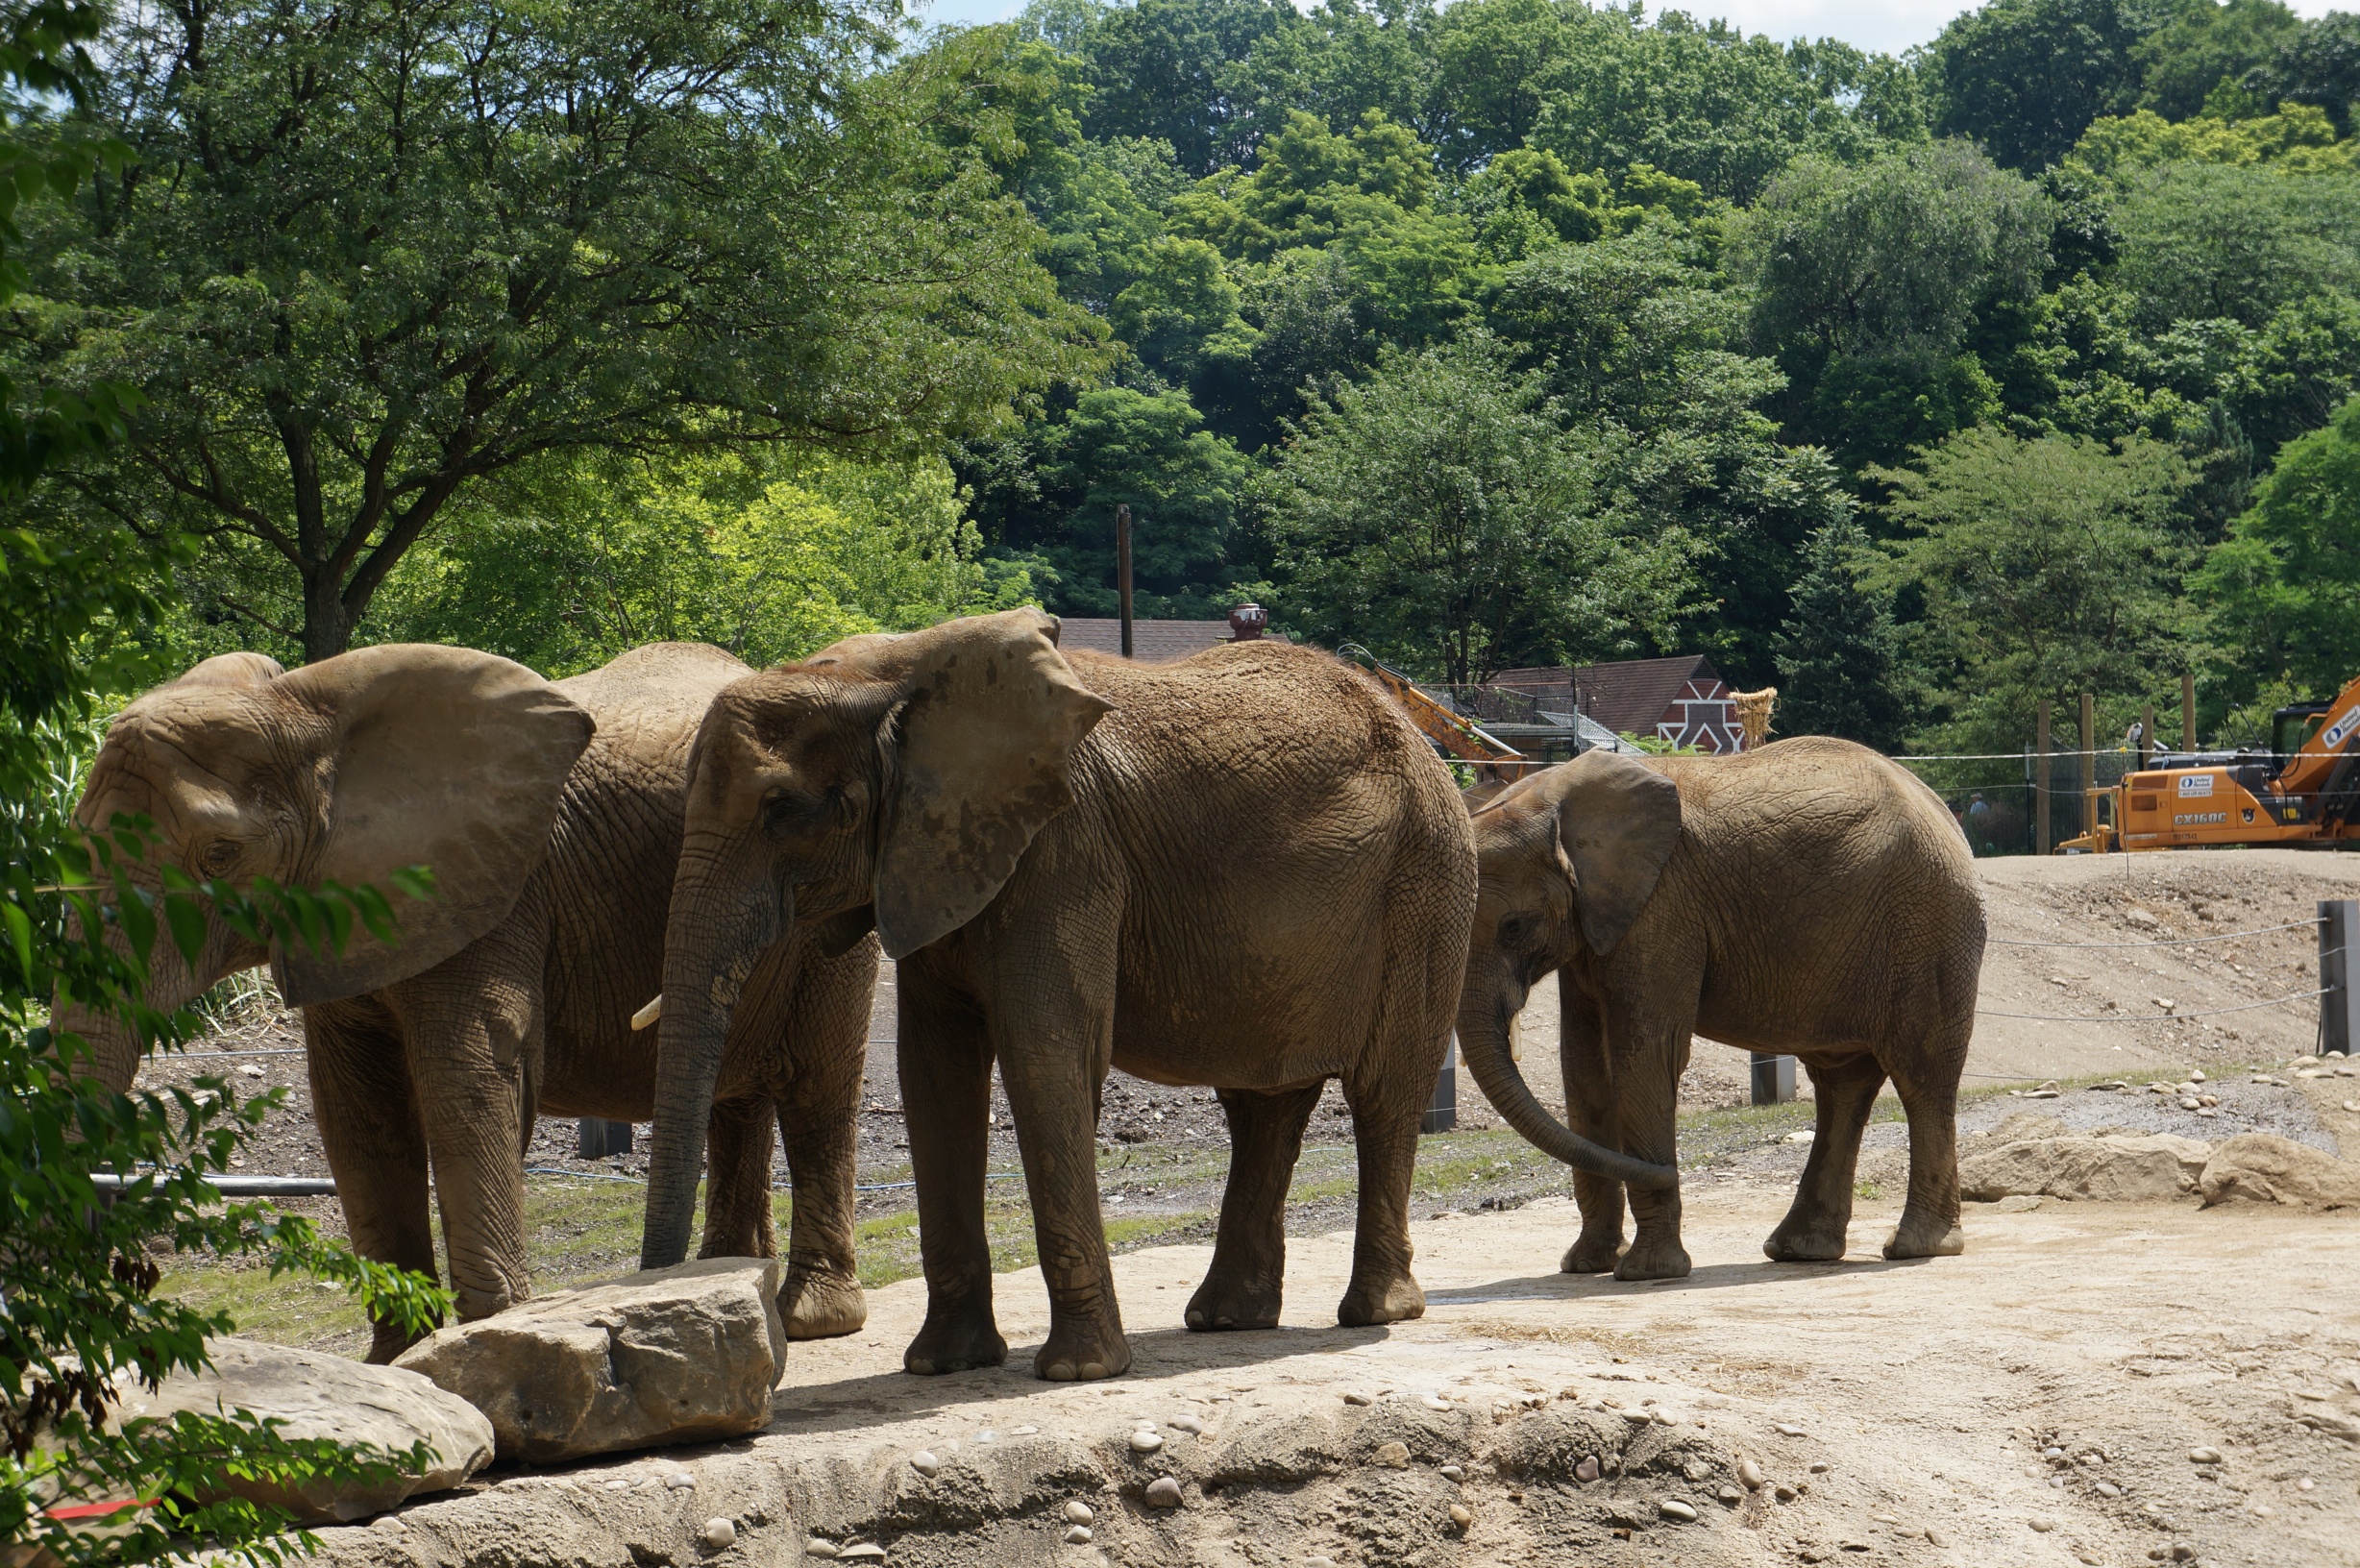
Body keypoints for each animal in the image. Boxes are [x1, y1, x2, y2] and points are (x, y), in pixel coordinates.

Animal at [64, 637, 882, 1360]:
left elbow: (468, 1075)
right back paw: (729, 1278)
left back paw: (808, 1318)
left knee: (817, 1086)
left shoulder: (497, 892)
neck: (305, 710)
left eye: (219, 856)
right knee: (734, 1094)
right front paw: (400, 1358)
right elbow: (357, 1111)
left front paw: (491, 1335)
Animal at [642, 614, 1680, 1388]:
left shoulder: (1063, 856)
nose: (679, 1310)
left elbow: (1048, 1053)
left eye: (786, 812)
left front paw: (1074, 1374)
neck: (897, 671)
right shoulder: (941, 860)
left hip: (1428, 885)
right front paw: (941, 1367)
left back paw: (1370, 1312)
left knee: (1383, 1093)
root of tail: (1428, 745)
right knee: (1264, 1104)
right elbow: (936, 1075)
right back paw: (1226, 1320)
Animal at [1453, 741, 1991, 1285]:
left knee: (1921, 1075)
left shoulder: (1662, 907)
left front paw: (1647, 1273)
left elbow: (1646, 1055)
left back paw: (1916, 1246)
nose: (1671, 1169)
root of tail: (1942, 812)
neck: (1549, 795)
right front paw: (1585, 1265)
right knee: (1841, 1082)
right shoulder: (1598, 923)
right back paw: (1800, 1249)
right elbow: (1582, 1067)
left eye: (1514, 928)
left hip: (1928, 927)